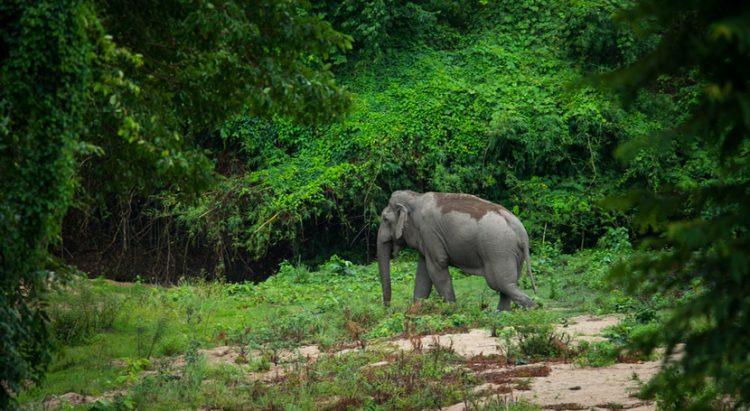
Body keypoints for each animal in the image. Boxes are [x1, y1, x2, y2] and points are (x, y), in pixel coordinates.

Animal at [376, 190, 537, 311]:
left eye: (385, 218)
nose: (387, 309)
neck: (416, 197)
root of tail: (522, 233)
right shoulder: (426, 240)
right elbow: (423, 274)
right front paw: (415, 312)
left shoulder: (430, 232)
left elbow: (436, 268)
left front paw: (450, 311)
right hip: (513, 253)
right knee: (508, 284)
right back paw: (502, 314)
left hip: (499, 250)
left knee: (502, 284)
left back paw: (533, 309)